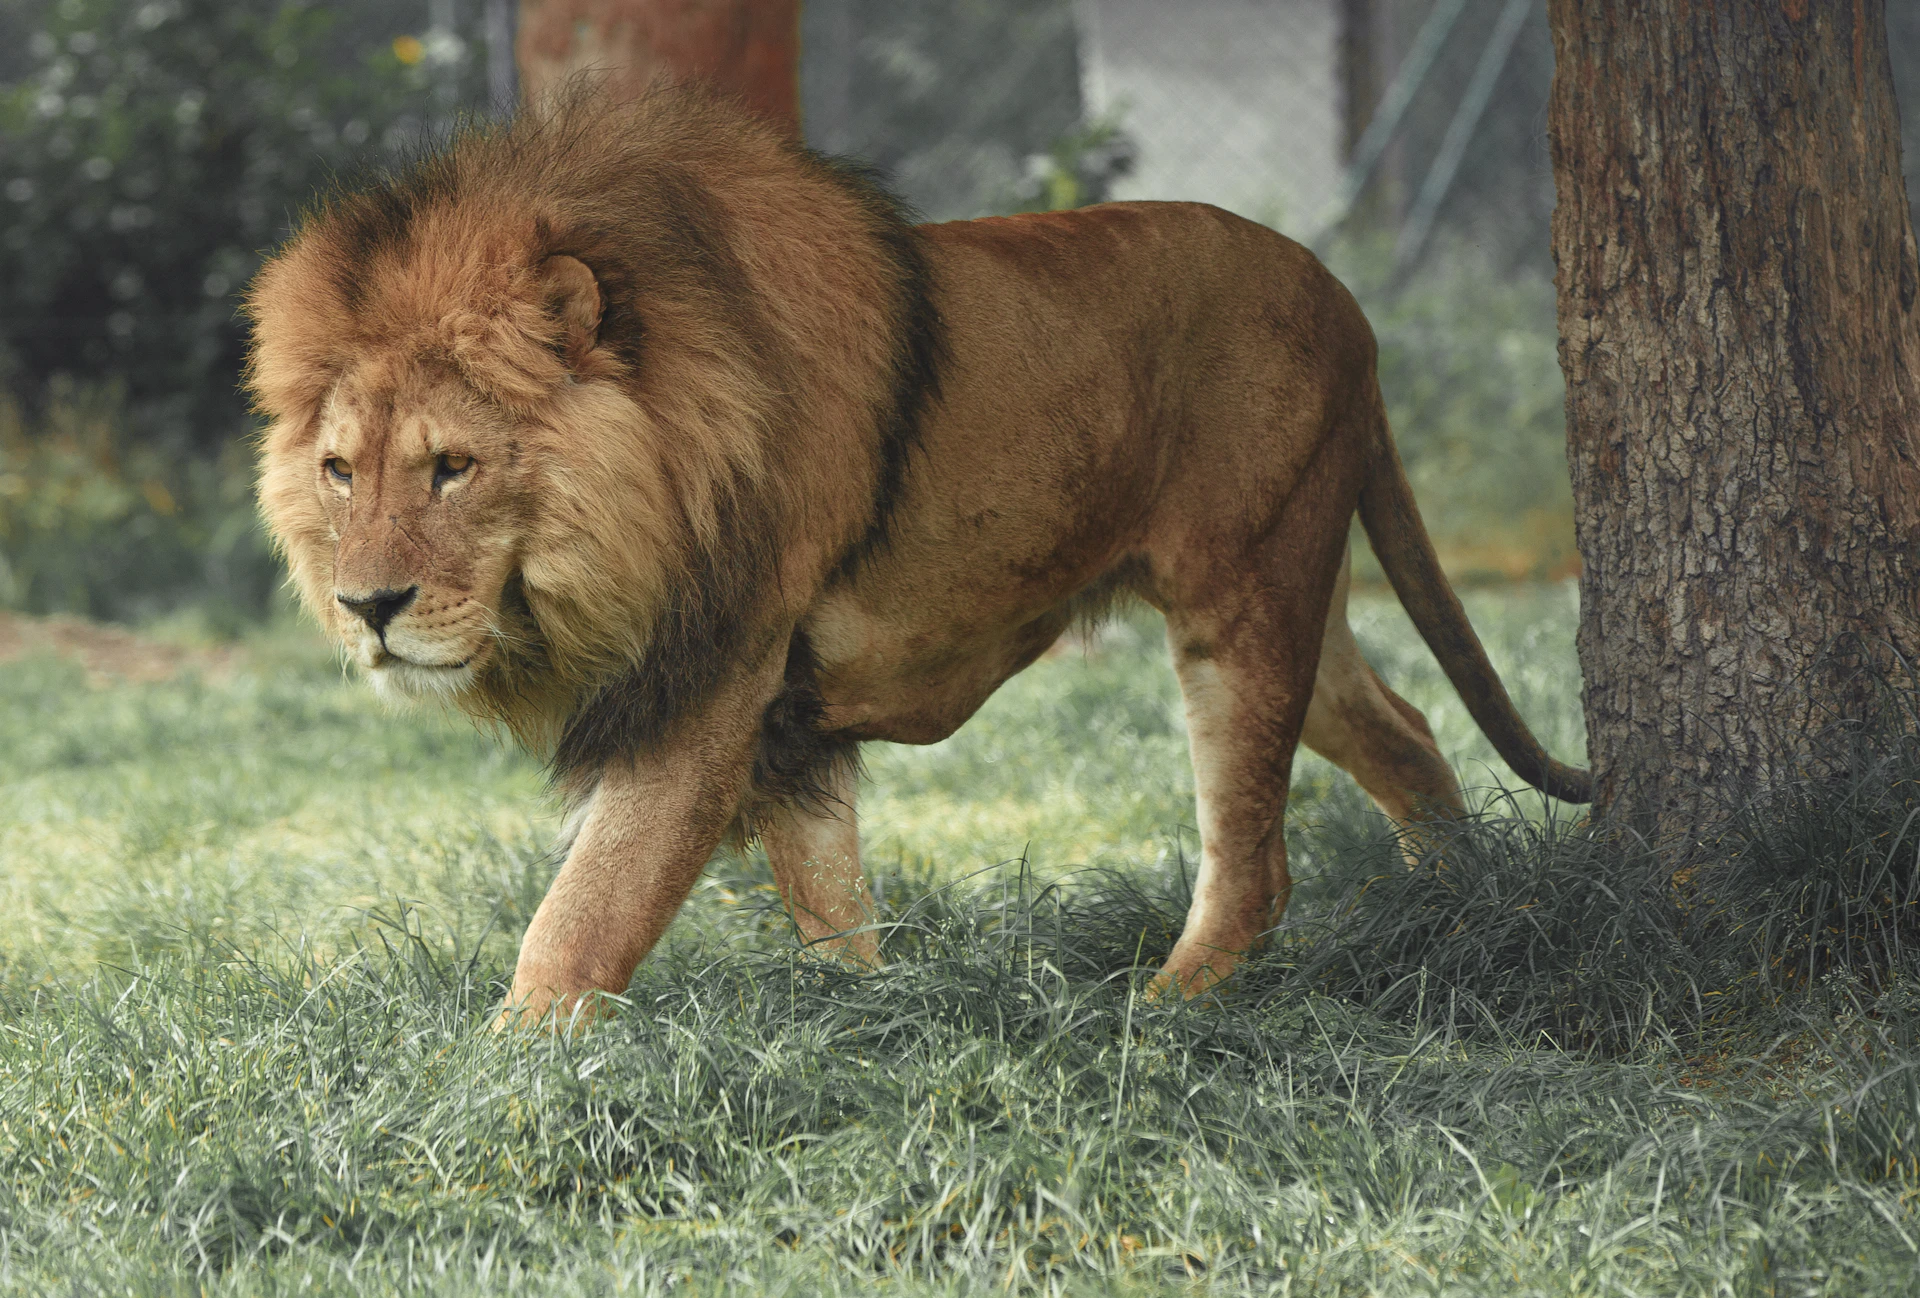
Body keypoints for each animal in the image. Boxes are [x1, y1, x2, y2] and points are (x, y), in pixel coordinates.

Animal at [247, 87, 1589, 1021]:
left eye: (452, 466)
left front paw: (500, 1075)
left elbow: (584, 913)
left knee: (1254, 860)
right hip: (1293, 583)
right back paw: (1462, 908)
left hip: (1244, 593)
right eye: (340, 470)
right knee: (1403, 726)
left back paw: (1157, 1015)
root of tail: (1346, 301)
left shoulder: (712, 683)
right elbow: (829, 901)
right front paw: (872, 1021)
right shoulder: (782, 719)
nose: (369, 606)